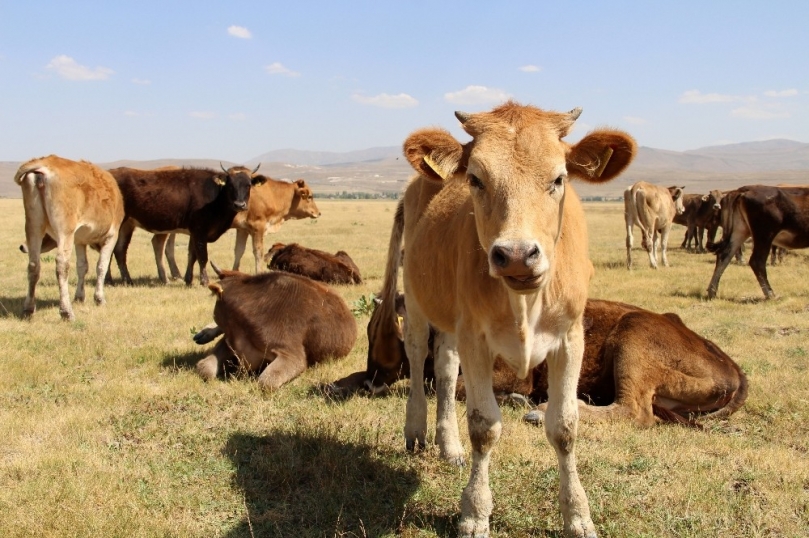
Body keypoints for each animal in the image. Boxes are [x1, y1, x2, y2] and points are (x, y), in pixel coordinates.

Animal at [15, 154, 124, 318]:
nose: (22, 246)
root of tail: (44, 163)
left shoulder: (79, 241)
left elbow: (82, 267)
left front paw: (79, 297)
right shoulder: (112, 236)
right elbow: (101, 266)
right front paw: (99, 299)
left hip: (33, 225)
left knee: (34, 265)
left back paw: (28, 309)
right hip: (65, 231)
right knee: (62, 265)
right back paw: (66, 311)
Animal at [107, 165, 264, 286]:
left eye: (248, 185)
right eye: (230, 186)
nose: (239, 205)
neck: (215, 197)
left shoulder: (194, 232)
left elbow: (192, 256)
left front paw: (189, 280)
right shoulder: (200, 231)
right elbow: (202, 256)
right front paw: (204, 281)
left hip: (127, 225)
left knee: (119, 250)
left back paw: (125, 280)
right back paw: (112, 280)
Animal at [326, 296, 744, 426]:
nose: (373, 375)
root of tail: (731, 368)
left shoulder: (511, 375)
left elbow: (456, 388)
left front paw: (515, 401)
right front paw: (338, 384)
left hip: (633, 336)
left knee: (635, 411)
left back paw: (543, 411)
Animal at [394, 101, 636, 536]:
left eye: (558, 178)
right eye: (476, 178)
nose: (518, 255)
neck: (525, 302)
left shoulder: (570, 339)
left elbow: (564, 426)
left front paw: (578, 515)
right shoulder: (476, 338)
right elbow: (483, 426)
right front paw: (474, 512)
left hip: (454, 323)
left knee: (445, 369)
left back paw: (448, 446)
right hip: (418, 299)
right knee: (420, 354)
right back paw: (417, 430)